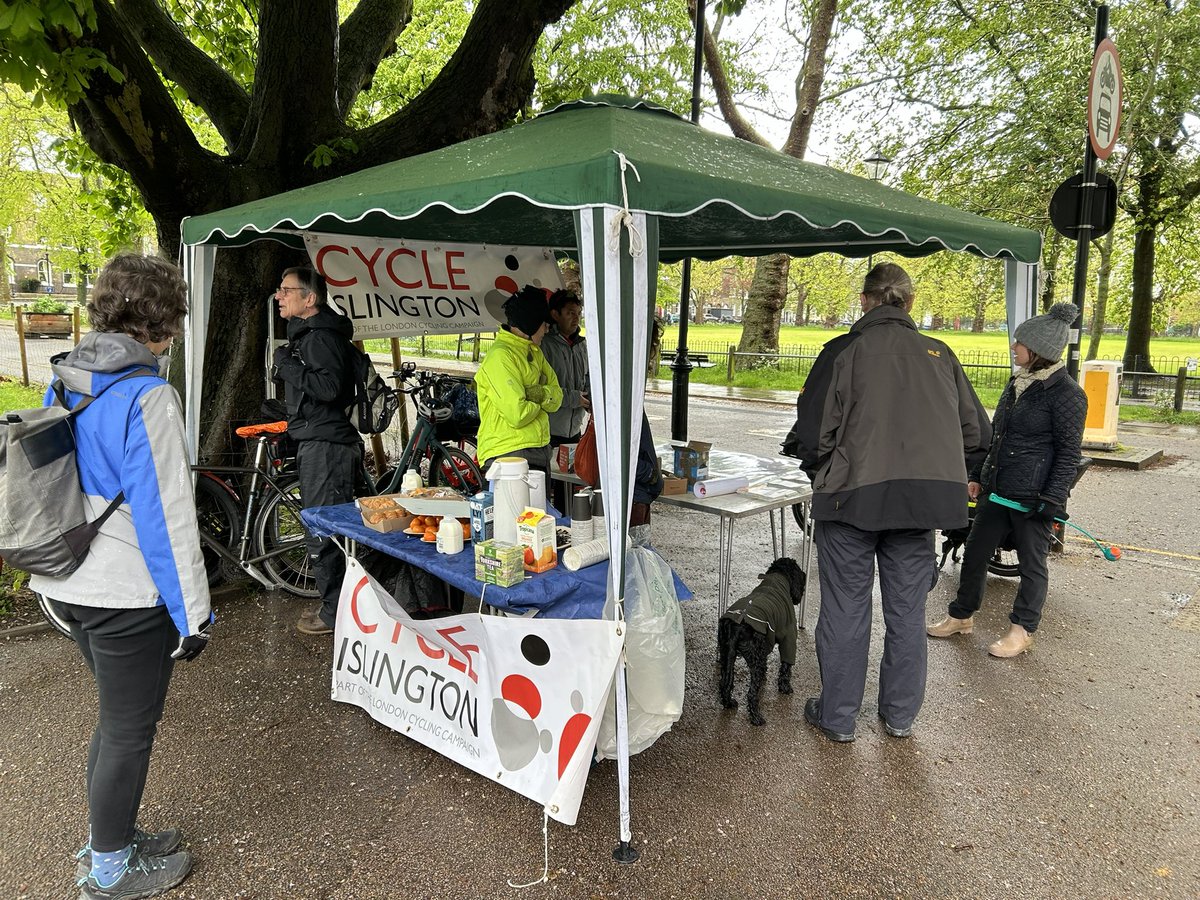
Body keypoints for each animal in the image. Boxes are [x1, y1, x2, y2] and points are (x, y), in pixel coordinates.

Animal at [720, 561, 806, 729]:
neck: (778, 577)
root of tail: (738, 624)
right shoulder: (789, 637)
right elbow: (786, 667)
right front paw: (785, 688)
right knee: (751, 693)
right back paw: (757, 718)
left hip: (727, 656)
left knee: (726, 682)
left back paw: (729, 703)